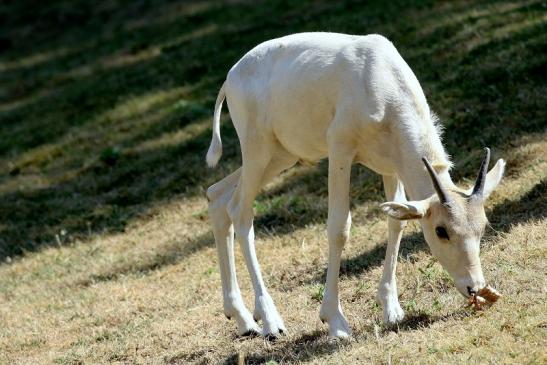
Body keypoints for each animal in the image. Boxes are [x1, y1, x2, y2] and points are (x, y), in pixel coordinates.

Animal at [204, 32, 506, 336]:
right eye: (441, 230)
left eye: (482, 227)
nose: (474, 287)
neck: (380, 78)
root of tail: (231, 77)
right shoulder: (340, 149)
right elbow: (339, 228)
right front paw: (335, 321)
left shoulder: (392, 165)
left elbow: (395, 222)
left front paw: (391, 309)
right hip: (258, 150)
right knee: (239, 210)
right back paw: (270, 321)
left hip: (280, 156)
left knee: (217, 196)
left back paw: (243, 320)